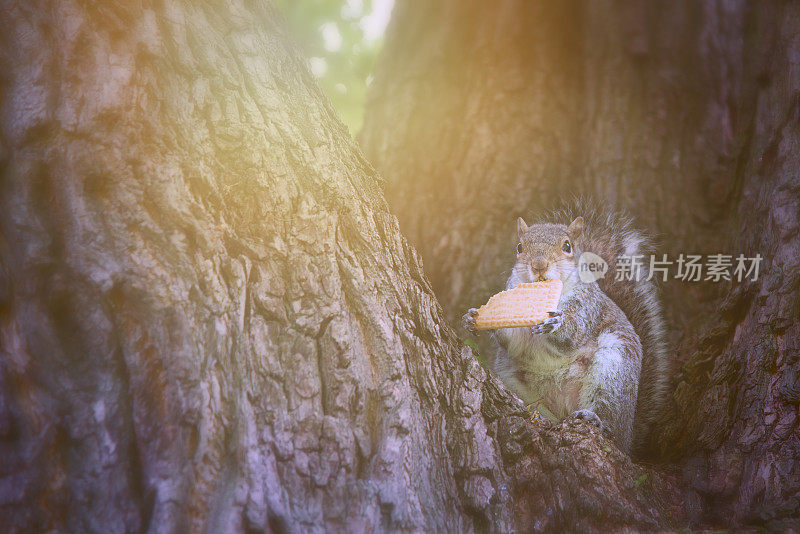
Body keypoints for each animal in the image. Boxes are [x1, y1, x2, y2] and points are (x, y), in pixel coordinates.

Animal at [460, 202, 672, 456]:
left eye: (567, 246)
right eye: (519, 247)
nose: (539, 265)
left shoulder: (588, 305)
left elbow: (573, 333)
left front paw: (557, 325)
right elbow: (514, 341)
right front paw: (474, 317)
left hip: (614, 370)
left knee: (609, 418)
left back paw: (596, 420)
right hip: (514, 382)